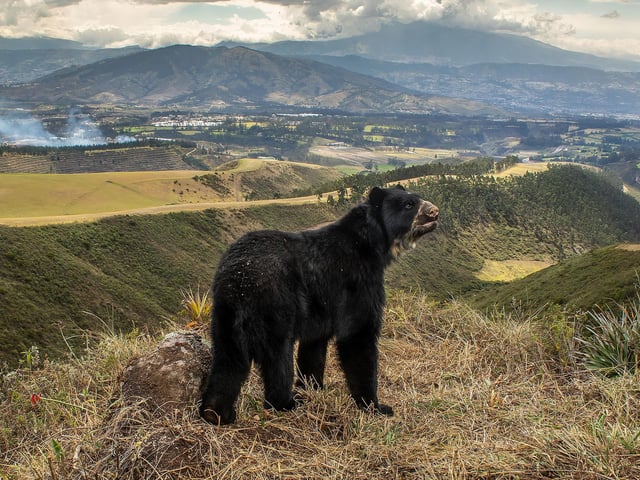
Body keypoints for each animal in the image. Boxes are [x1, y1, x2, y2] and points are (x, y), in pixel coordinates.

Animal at [200, 185, 439, 425]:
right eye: (409, 205)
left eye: (417, 199)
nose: (435, 211)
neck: (371, 244)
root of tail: (239, 279)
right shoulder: (356, 282)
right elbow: (358, 335)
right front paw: (375, 406)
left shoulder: (322, 308)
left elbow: (314, 346)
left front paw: (313, 387)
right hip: (276, 306)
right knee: (278, 359)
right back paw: (285, 403)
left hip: (225, 314)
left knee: (229, 361)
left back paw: (216, 412)